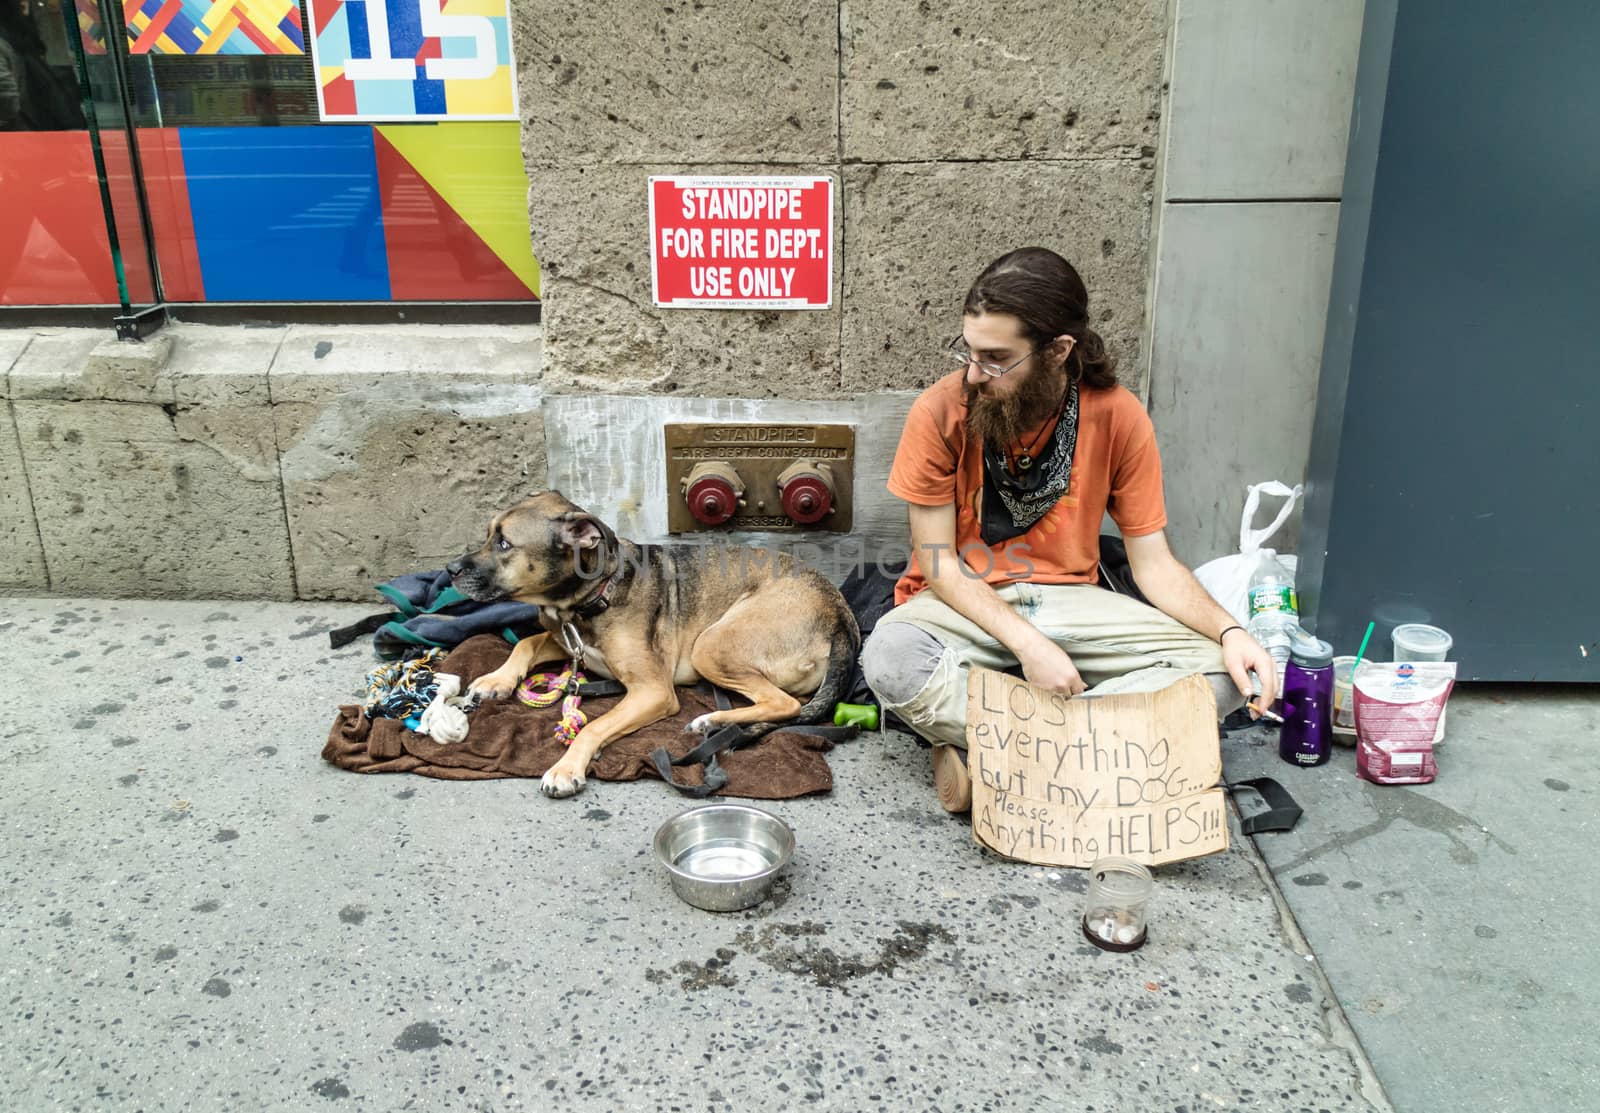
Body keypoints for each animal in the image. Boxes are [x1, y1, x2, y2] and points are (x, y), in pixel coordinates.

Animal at [444, 492, 864, 796]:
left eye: (504, 543)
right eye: (490, 535)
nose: (450, 570)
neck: (593, 596)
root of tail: (841, 614)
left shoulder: (653, 691)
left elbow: (597, 725)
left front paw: (567, 767)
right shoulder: (566, 640)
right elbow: (526, 644)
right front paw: (496, 680)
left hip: (709, 644)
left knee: (784, 703)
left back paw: (712, 720)